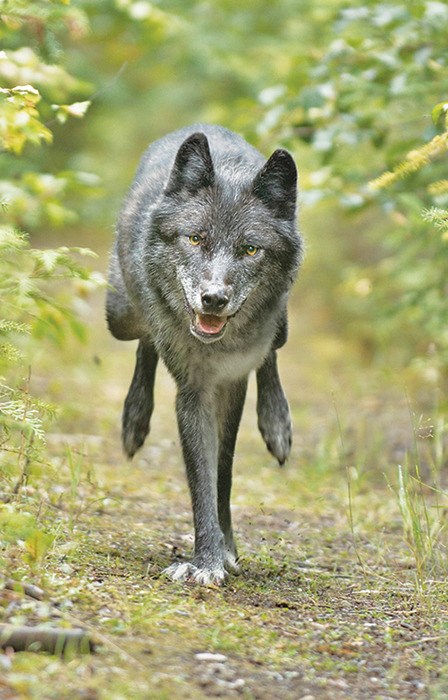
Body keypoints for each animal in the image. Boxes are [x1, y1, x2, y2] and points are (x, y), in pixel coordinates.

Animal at [107, 123, 302, 584]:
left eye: (250, 249)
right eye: (195, 238)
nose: (213, 299)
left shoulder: (231, 382)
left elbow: (222, 471)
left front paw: (222, 550)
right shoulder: (193, 391)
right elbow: (201, 477)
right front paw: (207, 560)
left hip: (281, 326)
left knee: (271, 352)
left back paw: (277, 424)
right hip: (119, 316)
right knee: (145, 338)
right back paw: (134, 420)